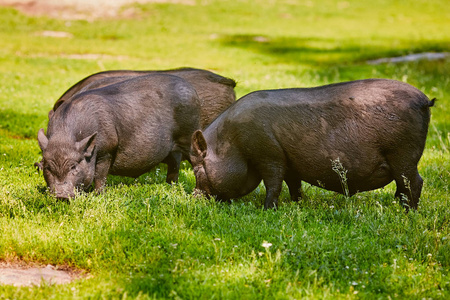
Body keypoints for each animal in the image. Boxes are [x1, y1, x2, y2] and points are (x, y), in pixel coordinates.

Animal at [37, 73, 200, 198]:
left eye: (73, 166)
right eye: (47, 168)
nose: (61, 196)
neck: (65, 135)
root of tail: (192, 90)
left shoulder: (107, 150)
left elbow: (100, 176)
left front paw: (98, 195)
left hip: (189, 135)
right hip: (173, 148)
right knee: (175, 163)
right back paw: (170, 186)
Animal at [191, 78, 436, 210]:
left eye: (196, 169)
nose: (192, 197)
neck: (232, 142)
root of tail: (423, 100)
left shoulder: (268, 154)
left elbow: (273, 184)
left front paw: (267, 209)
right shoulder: (289, 163)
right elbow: (293, 184)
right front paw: (298, 204)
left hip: (403, 153)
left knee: (415, 182)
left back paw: (407, 213)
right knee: (404, 185)